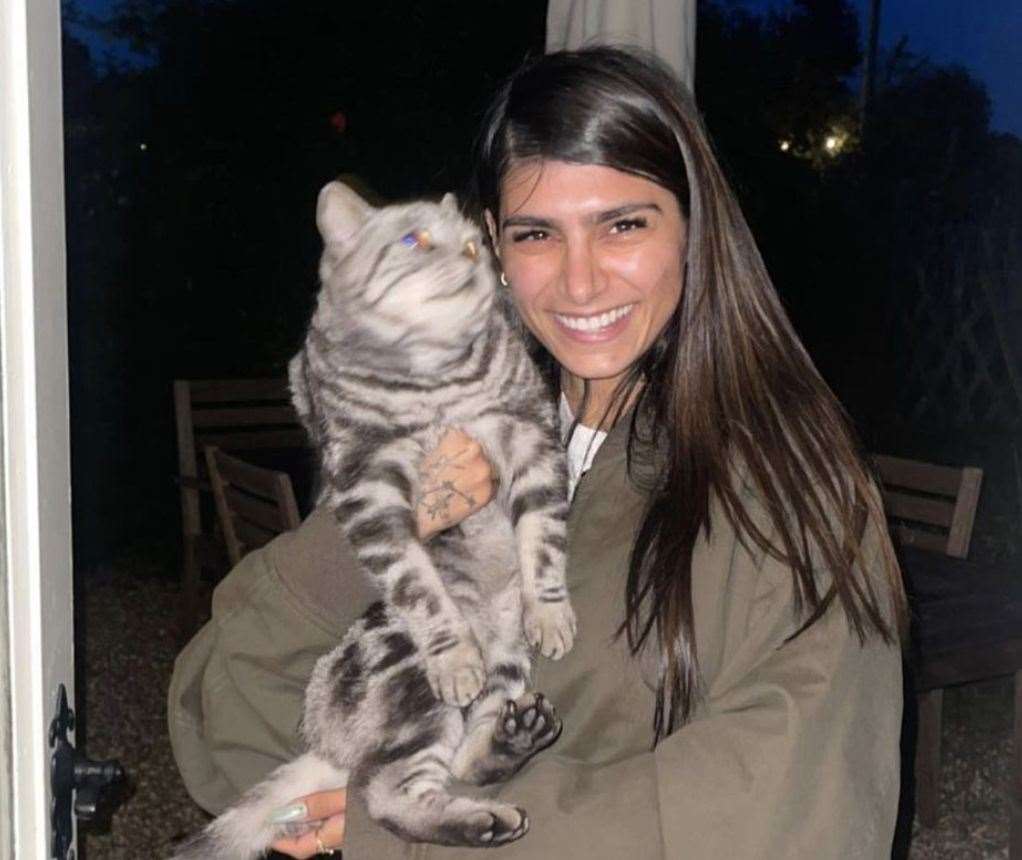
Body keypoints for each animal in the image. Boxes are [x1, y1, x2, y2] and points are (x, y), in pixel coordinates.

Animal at [171, 184, 580, 854]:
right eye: (415, 239)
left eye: (476, 243)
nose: (473, 261)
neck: (435, 373)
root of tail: (324, 743)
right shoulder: (369, 482)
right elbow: (420, 588)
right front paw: (454, 654)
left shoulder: (530, 436)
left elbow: (541, 538)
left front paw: (550, 610)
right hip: (410, 679)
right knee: (386, 793)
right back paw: (482, 819)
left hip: (508, 664)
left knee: (462, 760)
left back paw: (511, 742)